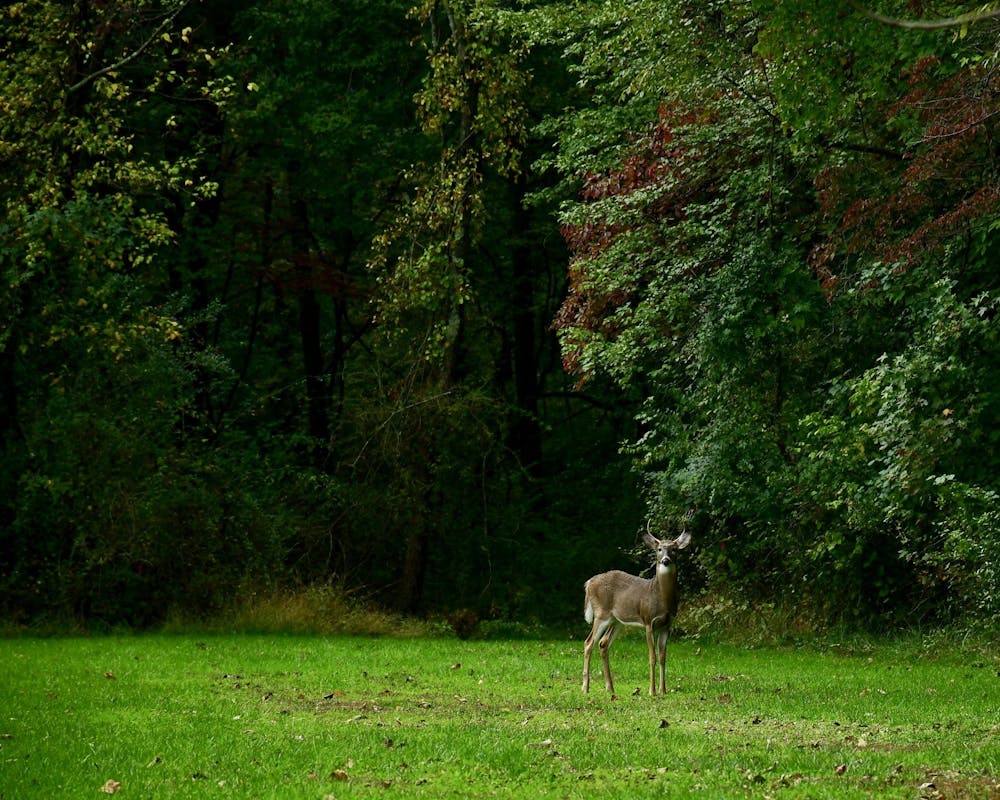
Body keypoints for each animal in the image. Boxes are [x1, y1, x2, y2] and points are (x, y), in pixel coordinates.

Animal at [584, 524, 692, 692]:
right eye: (659, 549)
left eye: (674, 549)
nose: (665, 560)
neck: (661, 598)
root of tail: (588, 583)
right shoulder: (648, 620)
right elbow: (652, 657)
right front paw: (652, 691)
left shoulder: (667, 625)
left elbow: (663, 657)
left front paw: (663, 690)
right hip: (601, 614)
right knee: (589, 643)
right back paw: (585, 688)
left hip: (616, 620)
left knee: (603, 643)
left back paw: (610, 688)